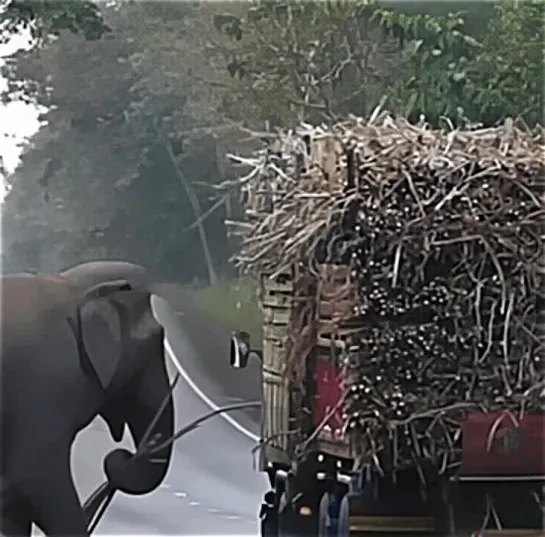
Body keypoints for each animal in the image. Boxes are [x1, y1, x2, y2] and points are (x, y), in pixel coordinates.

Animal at [0, 260, 176, 532]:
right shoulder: (45, 390)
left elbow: (15, 510)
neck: (71, 286)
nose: (121, 457)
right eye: (155, 339)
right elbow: (38, 483)